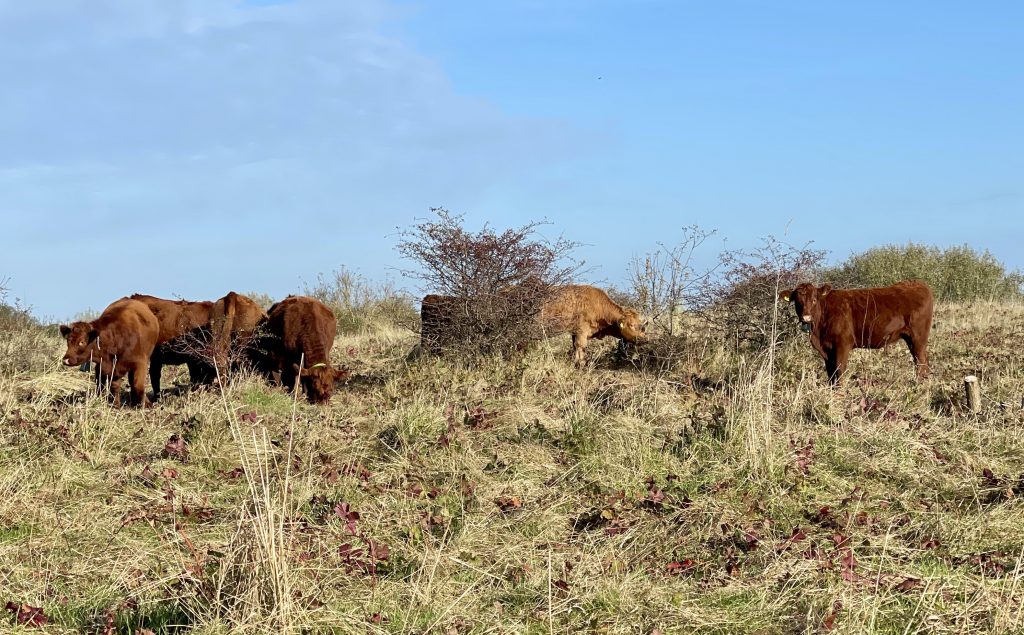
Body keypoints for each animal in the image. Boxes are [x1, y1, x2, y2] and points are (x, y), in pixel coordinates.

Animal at [778, 278, 933, 381]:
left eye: (814, 300)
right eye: (797, 302)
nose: (806, 317)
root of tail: (917, 284)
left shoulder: (842, 345)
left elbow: (839, 371)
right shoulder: (826, 349)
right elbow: (831, 373)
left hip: (918, 336)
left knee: (922, 362)